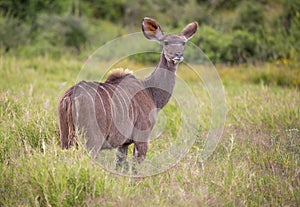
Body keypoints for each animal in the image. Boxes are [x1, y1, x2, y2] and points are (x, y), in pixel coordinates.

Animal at [58, 17, 199, 167]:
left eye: (183, 43)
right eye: (166, 42)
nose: (178, 55)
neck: (150, 91)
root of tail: (69, 97)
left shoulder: (123, 143)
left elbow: (120, 164)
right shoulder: (142, 137)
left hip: (65, 138)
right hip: (92, 140)